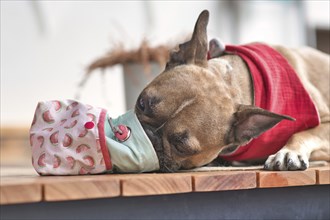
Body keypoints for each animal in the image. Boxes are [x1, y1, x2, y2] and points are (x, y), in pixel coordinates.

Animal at [135, 9, 330, 172]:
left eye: (181, 147)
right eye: (141, 103)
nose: (148, 135)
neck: (233, 82)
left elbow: (304, 133)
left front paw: (288, 152)